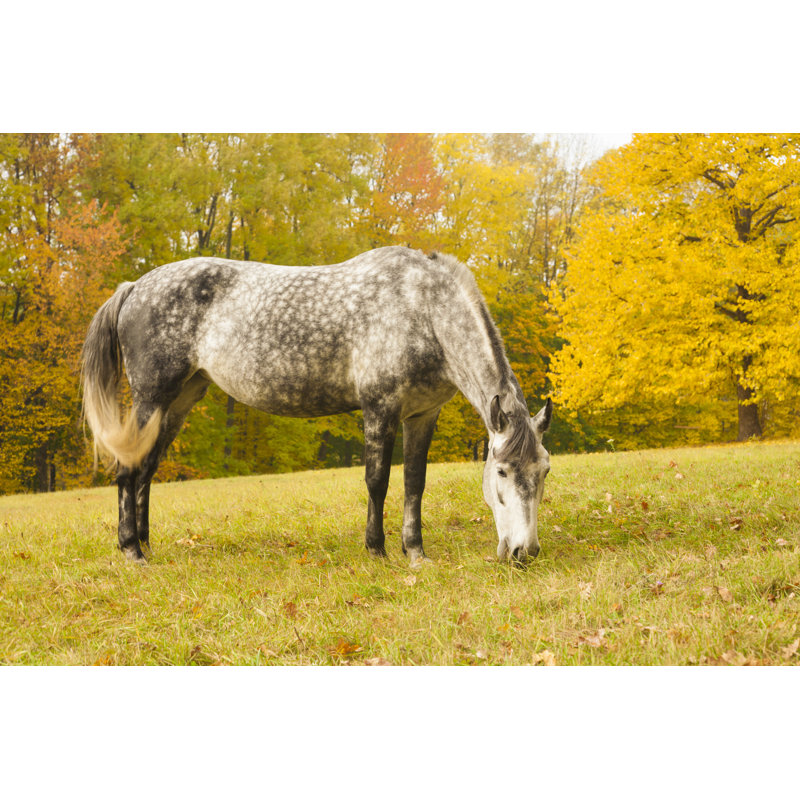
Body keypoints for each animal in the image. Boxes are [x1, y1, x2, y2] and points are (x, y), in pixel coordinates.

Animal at [81, 246, 552, 566]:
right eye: (501, 472)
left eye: (544, 471)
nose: (524, 551)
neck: (422, 309)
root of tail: (134, 287)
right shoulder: (380, 409)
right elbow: (377, 482)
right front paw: (377, 550)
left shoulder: (422, 416)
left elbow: (414, 484)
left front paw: (415, 552)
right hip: (151, 398)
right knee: (128, 470)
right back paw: (132, 550)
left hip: (177, 402)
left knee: (147, 470)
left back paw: (147, 543)